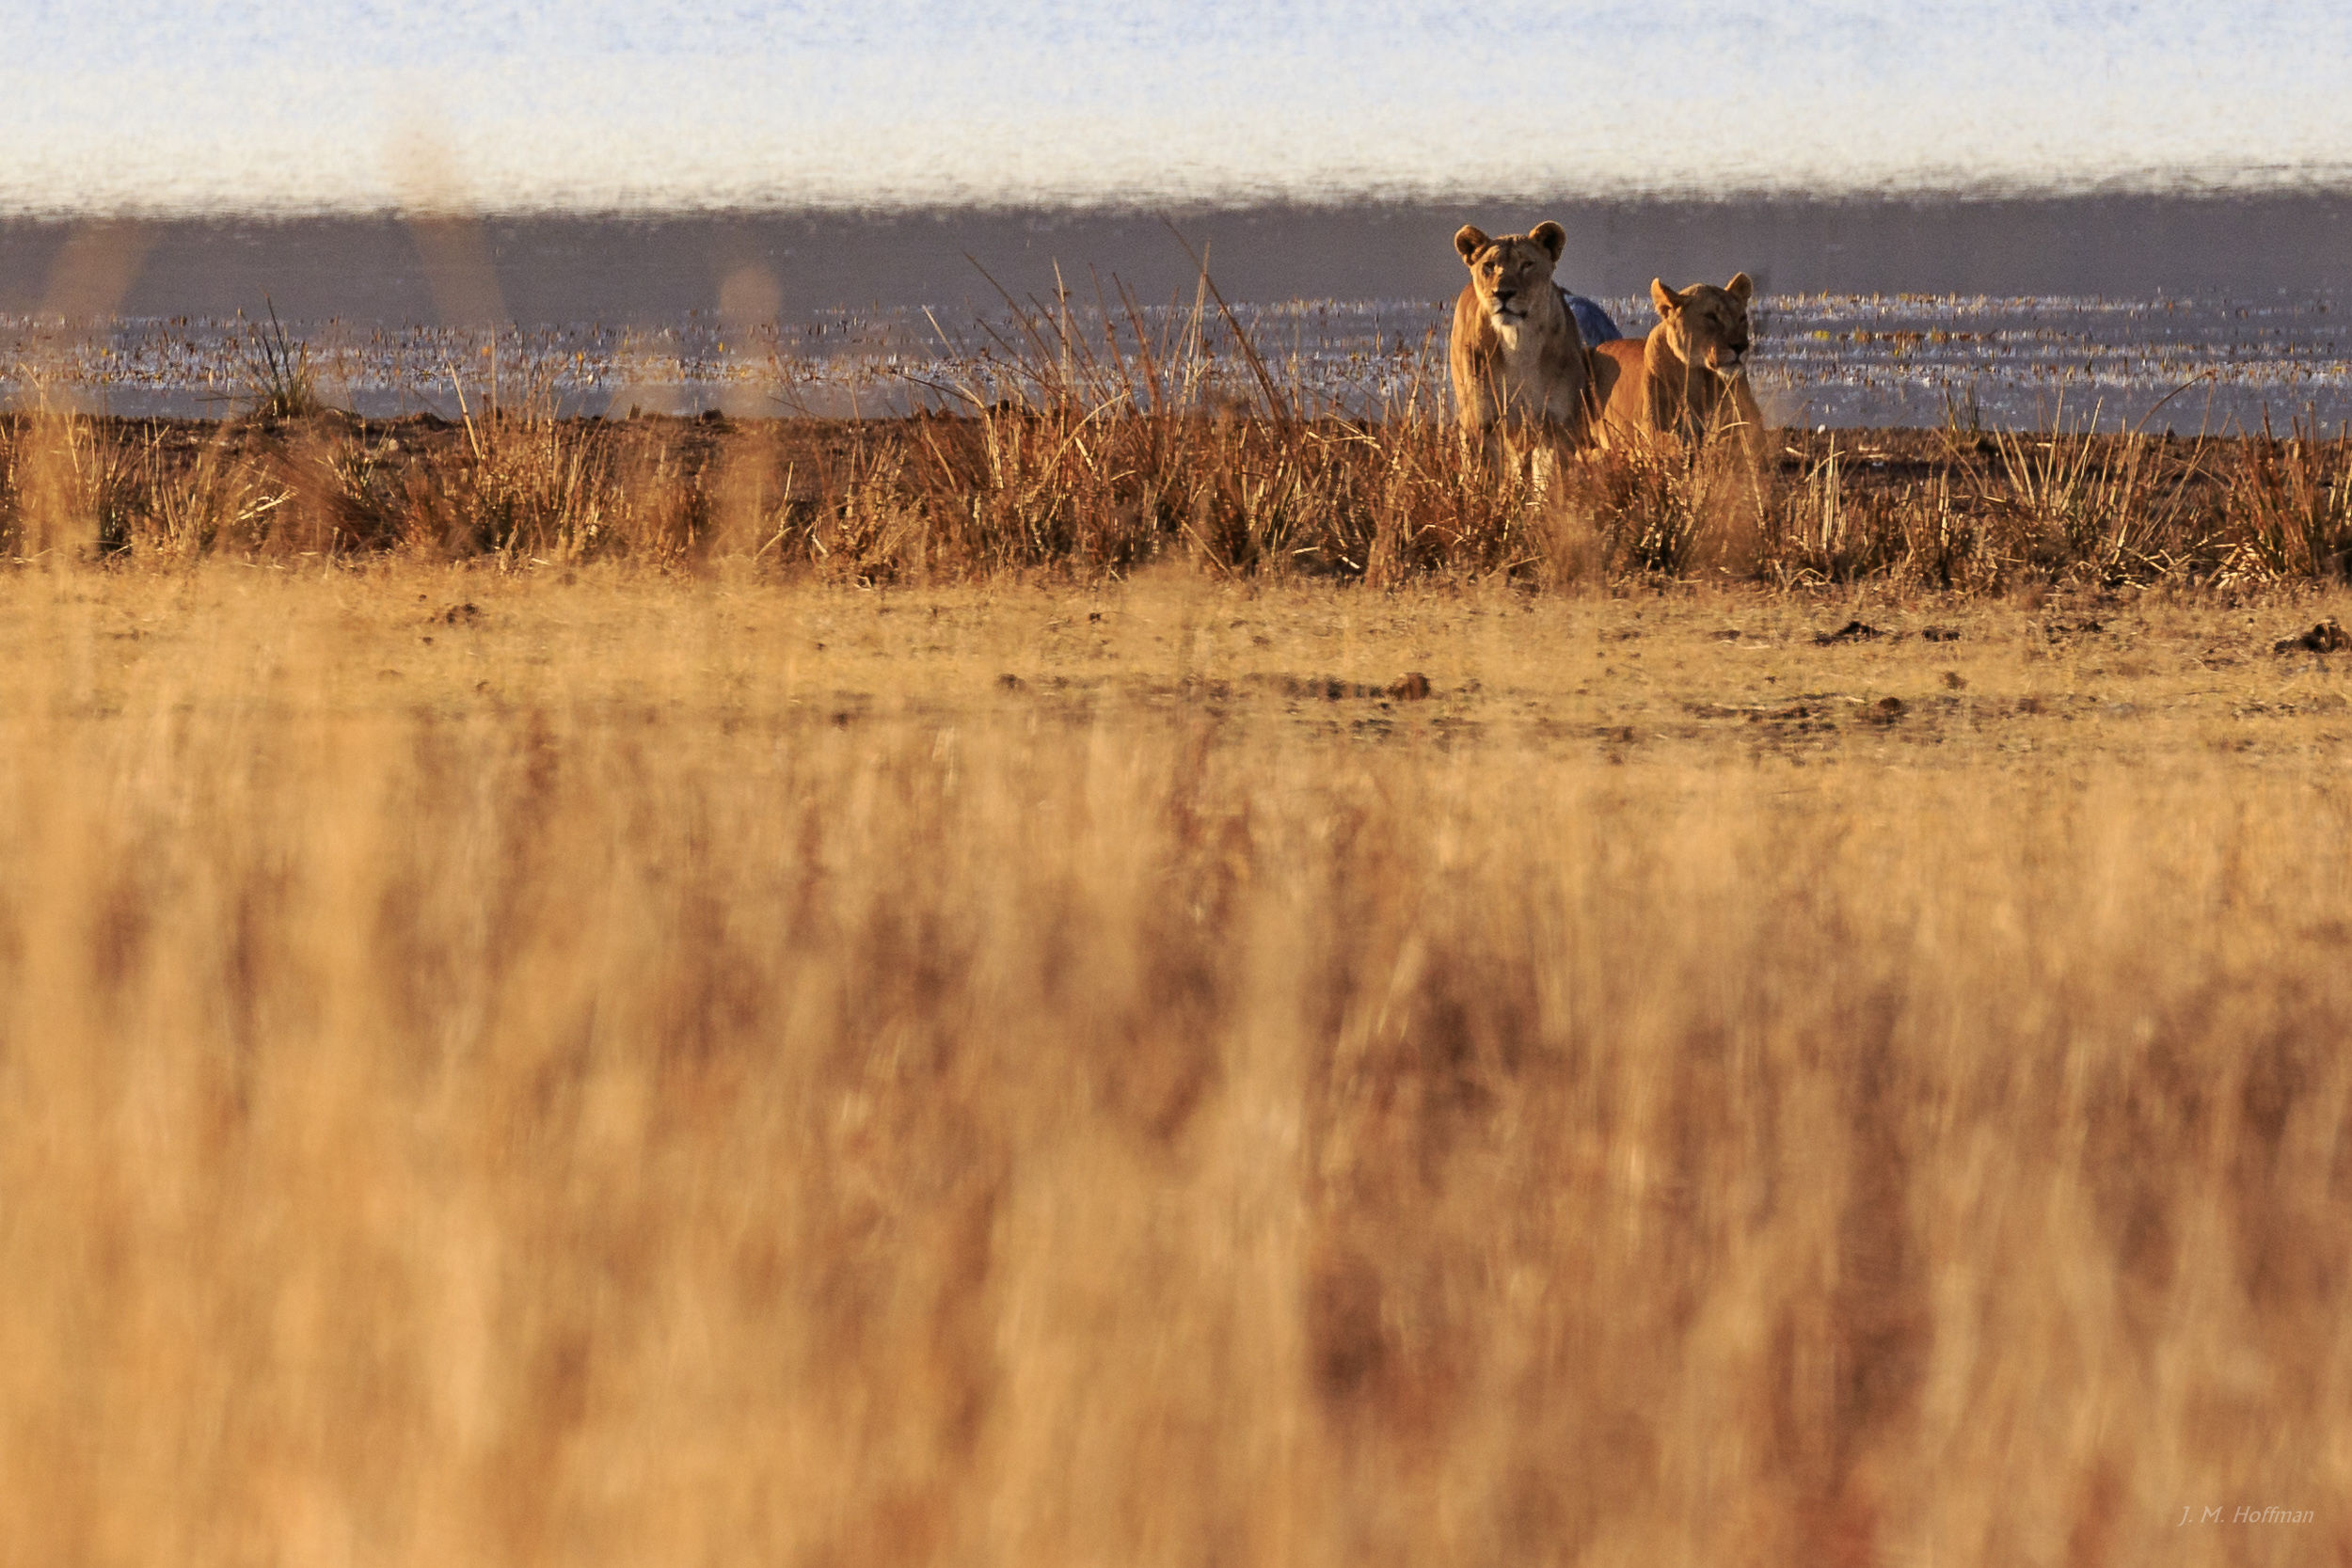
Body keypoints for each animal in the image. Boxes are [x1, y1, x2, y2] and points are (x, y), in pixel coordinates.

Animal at [1450, 222, 1592, 444]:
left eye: (1526, 264)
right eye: (1489, 265)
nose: (1503, 293)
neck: (1518, 344)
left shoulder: (1559, 426)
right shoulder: (1480, 426)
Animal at [1590, 274, 1763, 457]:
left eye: (1742, 318)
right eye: (1711, 316)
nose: (1741, 346)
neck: (1701, 376)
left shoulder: (1750, 425)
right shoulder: (1651, 430)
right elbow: (1670, 443)